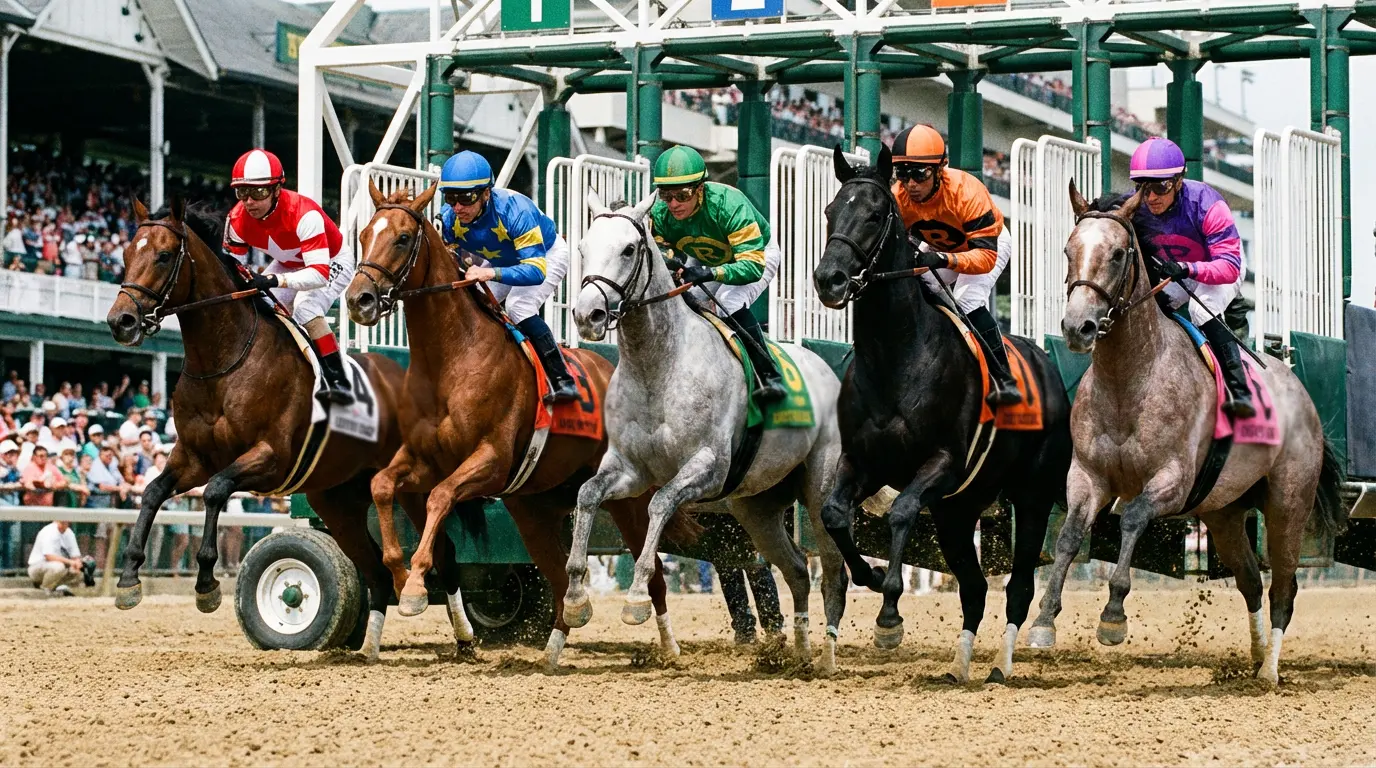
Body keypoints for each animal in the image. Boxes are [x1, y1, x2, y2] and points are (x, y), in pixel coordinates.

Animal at [105, 199, 467, 661]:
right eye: (125, 254)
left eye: (164, 256)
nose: (122, 321)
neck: (223, 362)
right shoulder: (193, 457)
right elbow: (152, 492)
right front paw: (129, 578)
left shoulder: (270, 457)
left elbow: (215, 491)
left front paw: (206, 584)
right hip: (336, 497)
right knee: (375, 571)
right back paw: (370, 647)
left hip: (411, 486)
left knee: (444, 551)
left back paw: (462, 636)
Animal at [343, 182, 690, 669]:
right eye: (363, 236)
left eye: (403, 239)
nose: (359, 300)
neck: (452, 359)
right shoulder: (422, 458)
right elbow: (381, 486)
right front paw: (397, 572)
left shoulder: (491, 460)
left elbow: (440, 497)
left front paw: (412, 587)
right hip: (535, 507)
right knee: (562, 583)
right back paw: (554, 650)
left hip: (628, 497)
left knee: (654, 572)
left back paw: (668, 646)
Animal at [562, 192, 848, 674]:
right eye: (583, 247)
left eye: (629, 249)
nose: (588, 315)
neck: (657, 366)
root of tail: (826, 369)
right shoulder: (630, 468)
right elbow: (586, 494)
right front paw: (576, 597)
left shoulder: (708, 468)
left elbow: (660, 503)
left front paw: (636, 599)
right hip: (756, 506)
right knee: (794, 569)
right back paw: (797, 654)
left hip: (819, 490)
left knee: (831, 569)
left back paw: (826, 658)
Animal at [810, 145, 1073, 683]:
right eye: (830, 211)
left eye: (874, 214)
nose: (830, 280)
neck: (896, 355)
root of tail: (1046, 366)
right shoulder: (864, 462)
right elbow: (833, 513)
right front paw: (869, 574)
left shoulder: (943, 462)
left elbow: (902, 511)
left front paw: (889, 616)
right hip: (959, 509)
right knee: (974, 589)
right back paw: (958, 665)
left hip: (1031, 495)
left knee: (1018, 587)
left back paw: (1001, 664)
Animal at [1027, 184, 1346, 684]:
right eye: (1068, 249)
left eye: (1118, 253)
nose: (1078, 328)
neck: (1129, 379)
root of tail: (1302, 396)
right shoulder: (1087, 475)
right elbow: (1070, 534)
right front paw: (1043, 620)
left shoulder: (1173, 480)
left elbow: (1133, 518)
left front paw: (1113, 616)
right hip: (1224, 510)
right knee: (1250, 580)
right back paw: (1256, 656)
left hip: (1288, 503)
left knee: (1284, 586)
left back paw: (1270, 671)